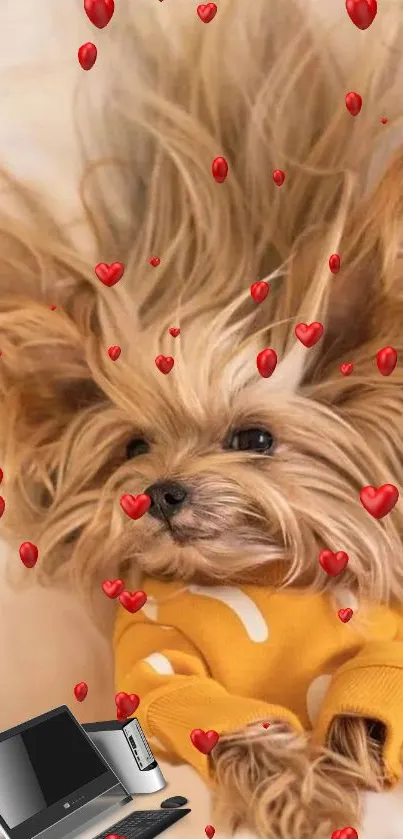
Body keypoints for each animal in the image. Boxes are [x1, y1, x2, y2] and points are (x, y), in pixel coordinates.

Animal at [0, 0, 403, 836]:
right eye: (132, 446)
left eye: (253, 438)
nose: (160, 491)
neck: (250, 580)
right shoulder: (160, 666)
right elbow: (230, 722)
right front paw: (304, 793)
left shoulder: (379, 643)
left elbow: (363, 695)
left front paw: (346, 757)